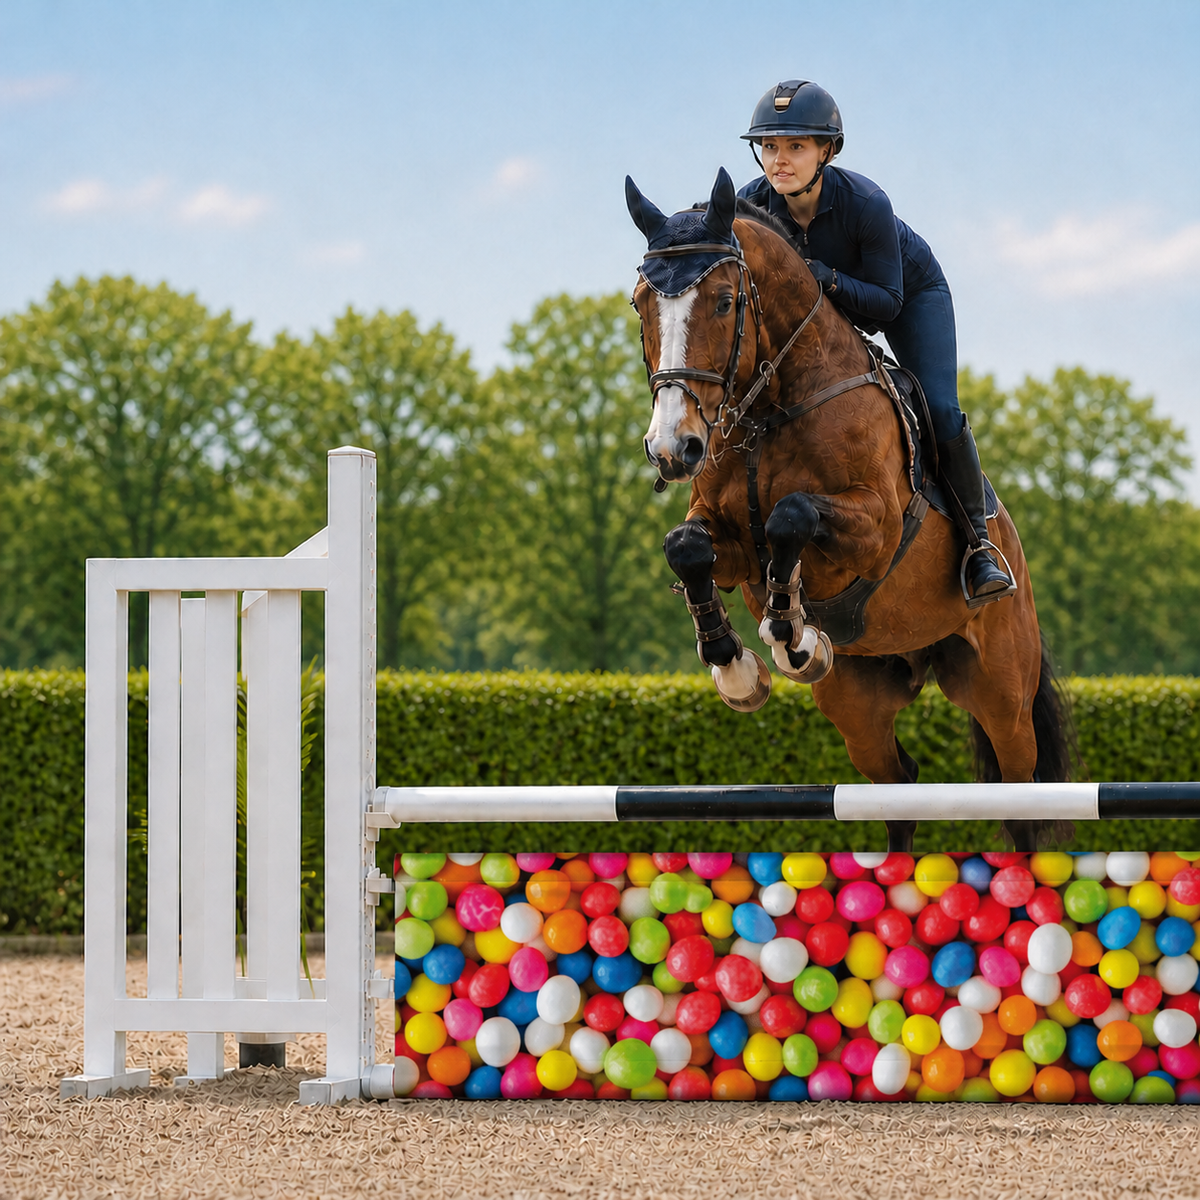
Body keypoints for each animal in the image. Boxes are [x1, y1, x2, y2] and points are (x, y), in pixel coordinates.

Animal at [626, 168, 1069, 851]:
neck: (771, 408)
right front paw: (739, 669)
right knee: (898, 785)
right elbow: (689, 547)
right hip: (858, 704)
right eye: (640, 305)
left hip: (1001, 687)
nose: (673, 448)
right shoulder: (727, 542)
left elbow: (792, 515)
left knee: (1019, 792)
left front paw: (791, 631)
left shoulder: (874, 529)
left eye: (725, 302)